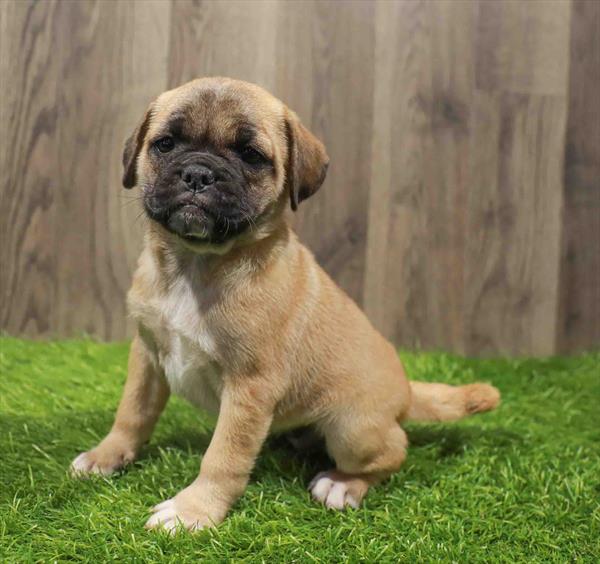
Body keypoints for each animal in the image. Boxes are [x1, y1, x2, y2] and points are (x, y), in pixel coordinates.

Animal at [71, 77, 502, 532]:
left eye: (251, 155)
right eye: (165, 144)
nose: (198, 173)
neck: (197, 262)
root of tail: (405, 392)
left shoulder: (250, 386)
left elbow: (223, 456)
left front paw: (193, 511)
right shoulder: (148, 355)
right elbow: (132, 413)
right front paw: (106, 455)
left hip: (353, 430)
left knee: (394, 452)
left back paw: (343, 485)